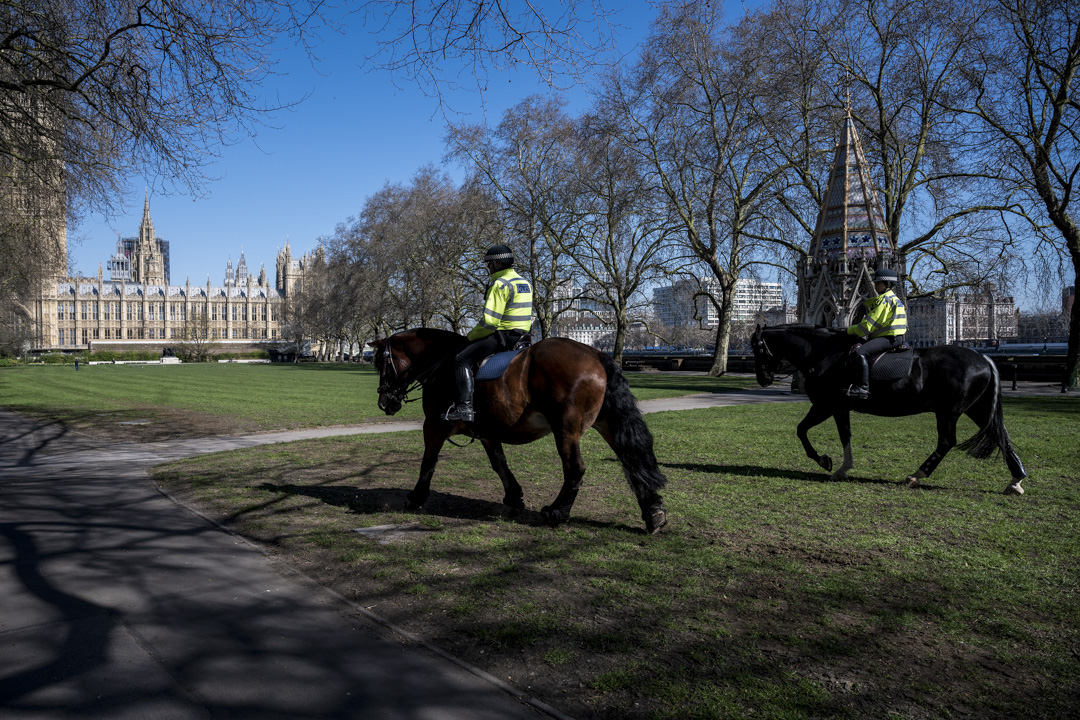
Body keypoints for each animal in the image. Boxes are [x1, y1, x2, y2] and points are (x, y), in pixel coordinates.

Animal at [369, 330, 665, 533]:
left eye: (380, 363)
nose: (384, 402)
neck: (441, 365)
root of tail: (596, 354)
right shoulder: (487, 431)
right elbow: (499, 463)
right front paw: (514, 497)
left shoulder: (434, 425)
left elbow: (427, 463)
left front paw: (416, 497)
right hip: (607, 423)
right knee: (632, 459)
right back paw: (654, 512)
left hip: (565, 428)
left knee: (575, 468)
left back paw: (557, 512)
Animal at [751, 323, 1028, 492]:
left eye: (758, 348)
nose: (763, 379)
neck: (825, 355)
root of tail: (983, 358)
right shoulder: (839, 408)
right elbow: (844, 435)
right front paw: (842, 468)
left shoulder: (825, 405)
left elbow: (802, 430)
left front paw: (825, 461)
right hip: (976, 410)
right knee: (1000, 436)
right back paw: (1016, 480)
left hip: (948, 412)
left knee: (947, 442)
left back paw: (917, 475)